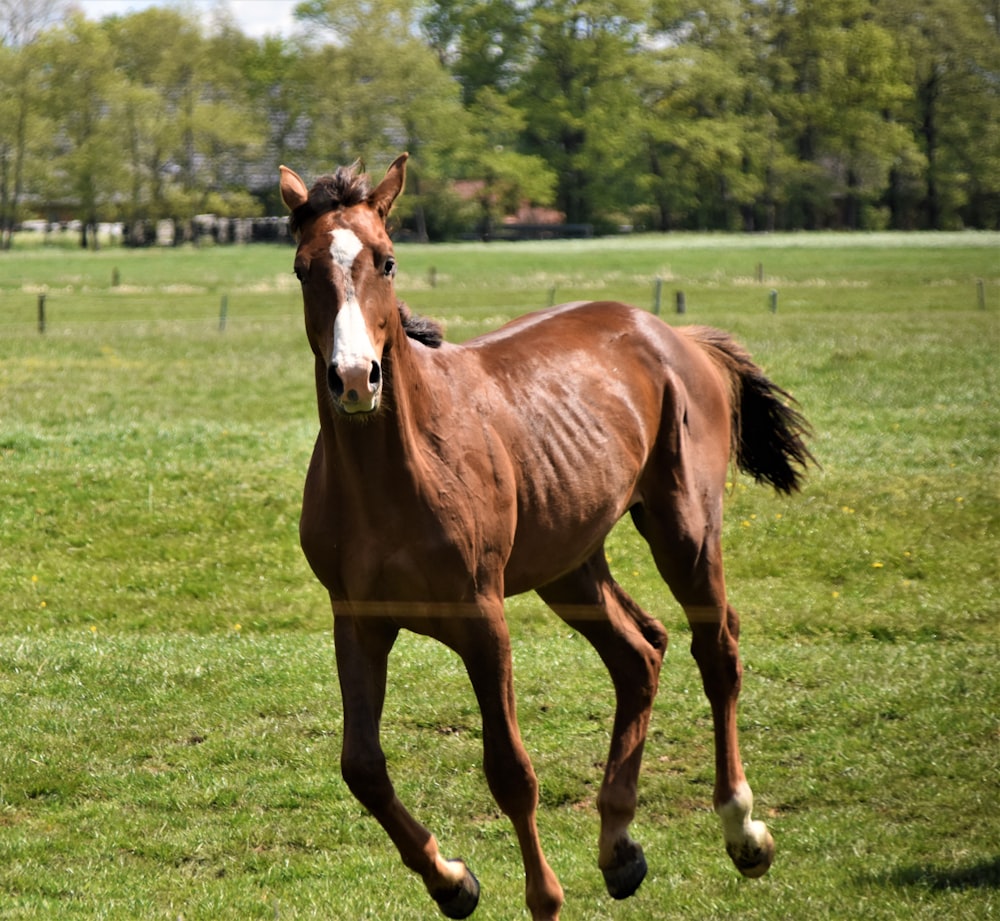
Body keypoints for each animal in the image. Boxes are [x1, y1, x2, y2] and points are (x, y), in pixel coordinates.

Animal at [278, 155, 808, 916]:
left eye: (387, 260)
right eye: (301, 269)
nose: (354, 379)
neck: (393, 477)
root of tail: (675, 337)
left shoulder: (482, 619)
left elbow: (510, 770)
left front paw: (543, 896)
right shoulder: (358, 620)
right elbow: (362, 767)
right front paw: (453, 880)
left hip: (685, 530)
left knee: (717, 650)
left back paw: (743, 830)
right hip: (571, 564)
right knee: (640, 652)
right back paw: (618, 847)